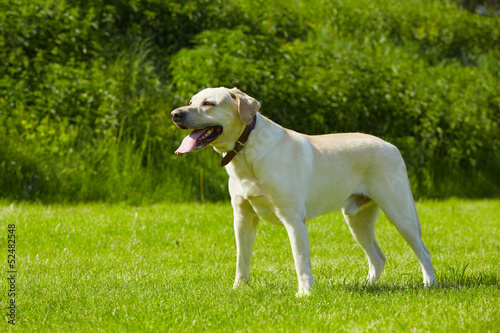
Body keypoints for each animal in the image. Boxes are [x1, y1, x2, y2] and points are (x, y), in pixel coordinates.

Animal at [170, 86, 436, 296]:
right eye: (191, 101)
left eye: (208, 103)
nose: (175, 114)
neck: (245, 154)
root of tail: (392, 146)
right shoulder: (243, 217)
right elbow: (241, 259)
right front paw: (239, 289)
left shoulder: (293, 219)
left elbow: (300, 260)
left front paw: (305, 293)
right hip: (356, 220)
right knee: (378, 257)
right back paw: (368, 286)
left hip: (400, 213)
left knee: (423, 251)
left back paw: (429, 285)